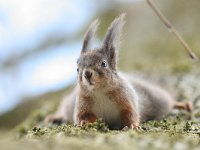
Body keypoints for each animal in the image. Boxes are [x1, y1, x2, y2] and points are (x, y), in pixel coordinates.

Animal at [45, 13, 192, 130]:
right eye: (77, 69)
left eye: (104, 64)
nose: (87, 74)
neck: (100, 91)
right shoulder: (82, 104)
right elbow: (82, 117)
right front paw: (85, 124)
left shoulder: (126, 98)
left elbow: (130, 113)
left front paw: (134, 126)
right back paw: (54, 117)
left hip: (156, 98)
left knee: (168, 102)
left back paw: (182, 104)